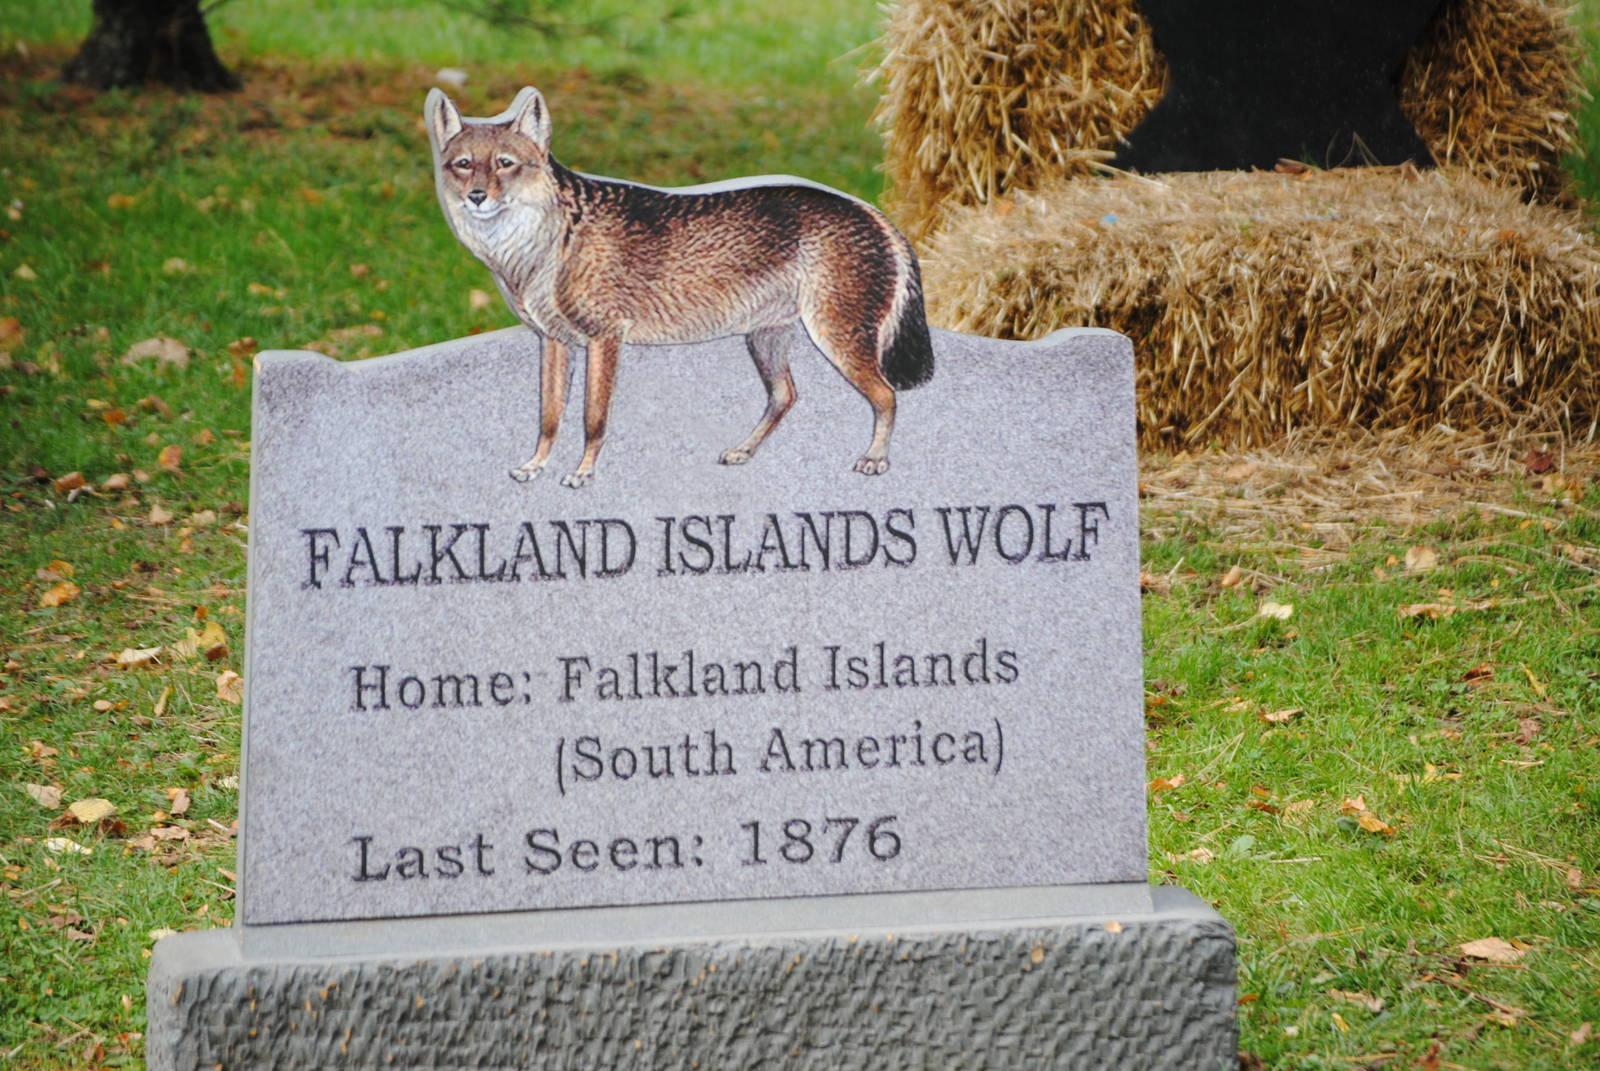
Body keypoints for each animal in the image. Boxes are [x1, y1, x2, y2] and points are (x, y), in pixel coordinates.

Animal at [425, 87, 934, 488]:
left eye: (506, 164)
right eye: (463, 165)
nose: (477, 198)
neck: (541, 245)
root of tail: (874, 213)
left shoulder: (604, 339)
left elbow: (593, 419)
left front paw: (584, 473)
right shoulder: (553, 343)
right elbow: (549, 418)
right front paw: (535, 467)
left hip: (835, 341)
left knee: (885, 395)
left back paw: (875, 459)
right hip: (766, 341)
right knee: (786, 396)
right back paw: (743, 451)